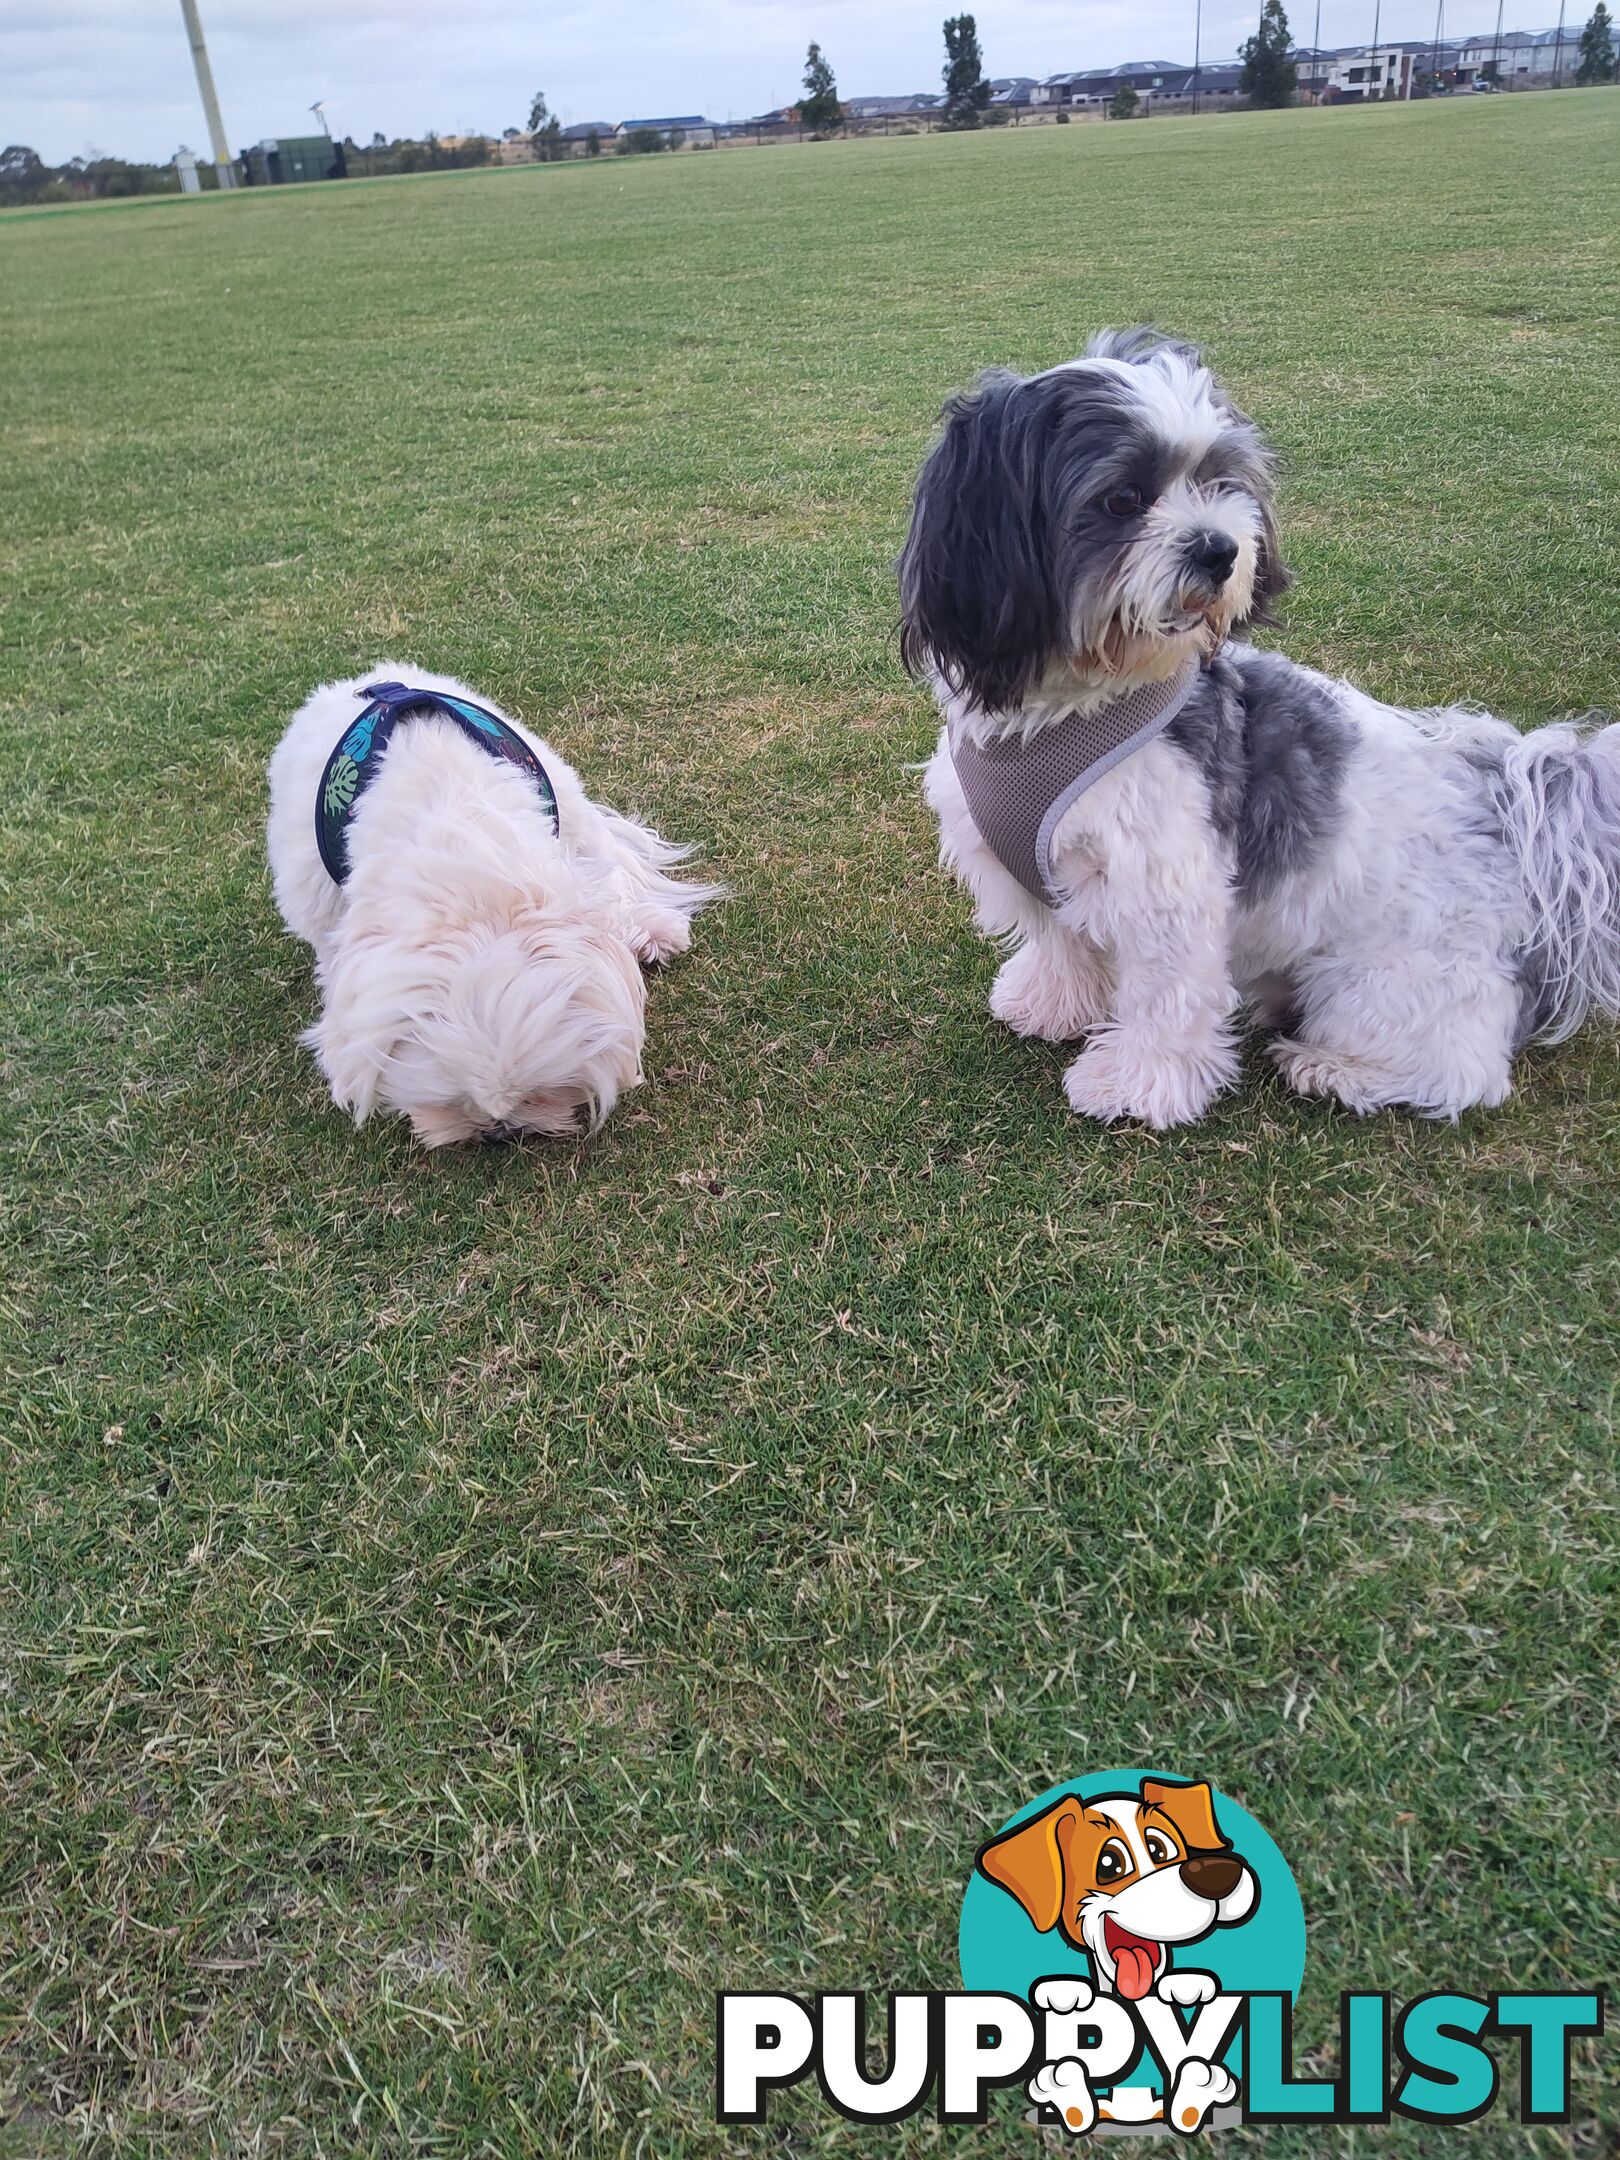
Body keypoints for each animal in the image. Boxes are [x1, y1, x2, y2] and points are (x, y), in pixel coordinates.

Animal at [267, 665, 717, 1149]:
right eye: (452, 1104)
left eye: (541, 1094)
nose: (498, 1132)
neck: (465, 867)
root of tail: (378, 680)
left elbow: (608, 888)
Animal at [902, 328, 1620, 1131]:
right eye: (1123, 499)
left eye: (1221, 482)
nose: (1220, 549)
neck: (1073, 707)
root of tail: (1512, 811)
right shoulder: (1036, 872)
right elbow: (1063, 943)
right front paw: (1049, 1005)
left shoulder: (1167, 882)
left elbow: (1165, 996)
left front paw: (1137, 1085)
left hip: (1388, 979)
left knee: (1461, 1069)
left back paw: (1337, 1069)